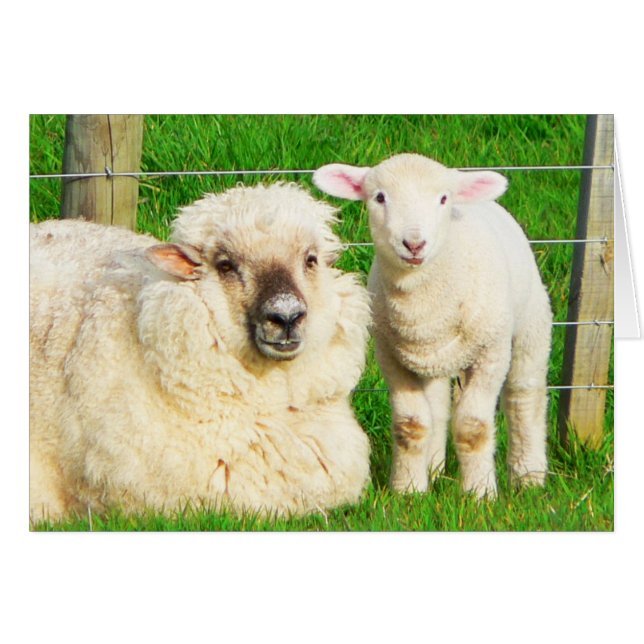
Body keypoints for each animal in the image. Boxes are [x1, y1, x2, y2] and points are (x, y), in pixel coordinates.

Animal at [313, 153, 552, 499]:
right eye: (379, 197)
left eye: (442, 199)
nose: (414, 244)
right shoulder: (391, 356)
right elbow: (411, 423)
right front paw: (409, 490)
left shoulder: (491, 354)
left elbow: (473, 427)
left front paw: (480, 493)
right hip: (433, 359)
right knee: (438, 407)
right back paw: (435, 472)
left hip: (530, 324)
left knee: (524, 395)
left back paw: (529, 477)